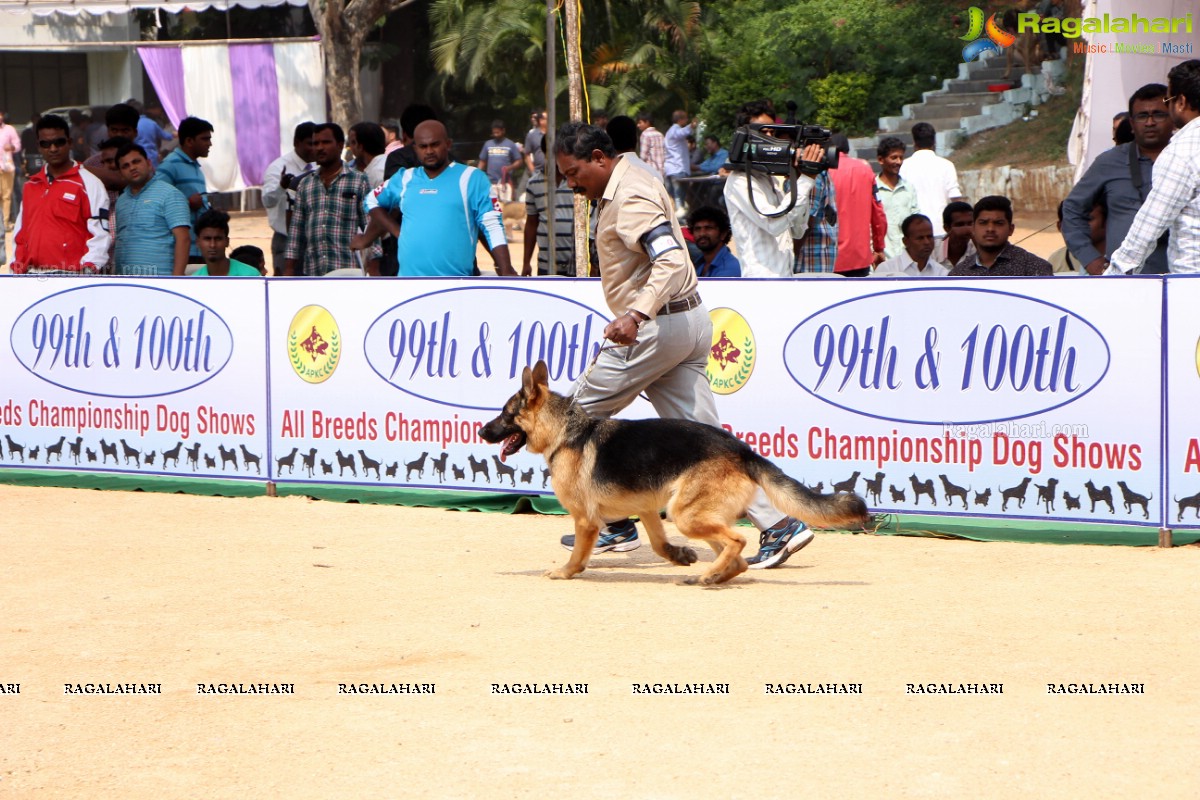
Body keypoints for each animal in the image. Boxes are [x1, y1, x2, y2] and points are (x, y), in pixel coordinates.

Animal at [477, 367, 873, 585]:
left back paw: (711, 575)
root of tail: (741, 449)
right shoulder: (648, 509)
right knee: (737, 559)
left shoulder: (586, 520)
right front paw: (679, 555)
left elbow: (578, 557)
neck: (564, 431)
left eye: (505, 414)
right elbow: (657, 544)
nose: (481, 431)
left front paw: (565, 572)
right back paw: (710, 574)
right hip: (688, 513)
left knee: (737, 542)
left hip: (686, 514)